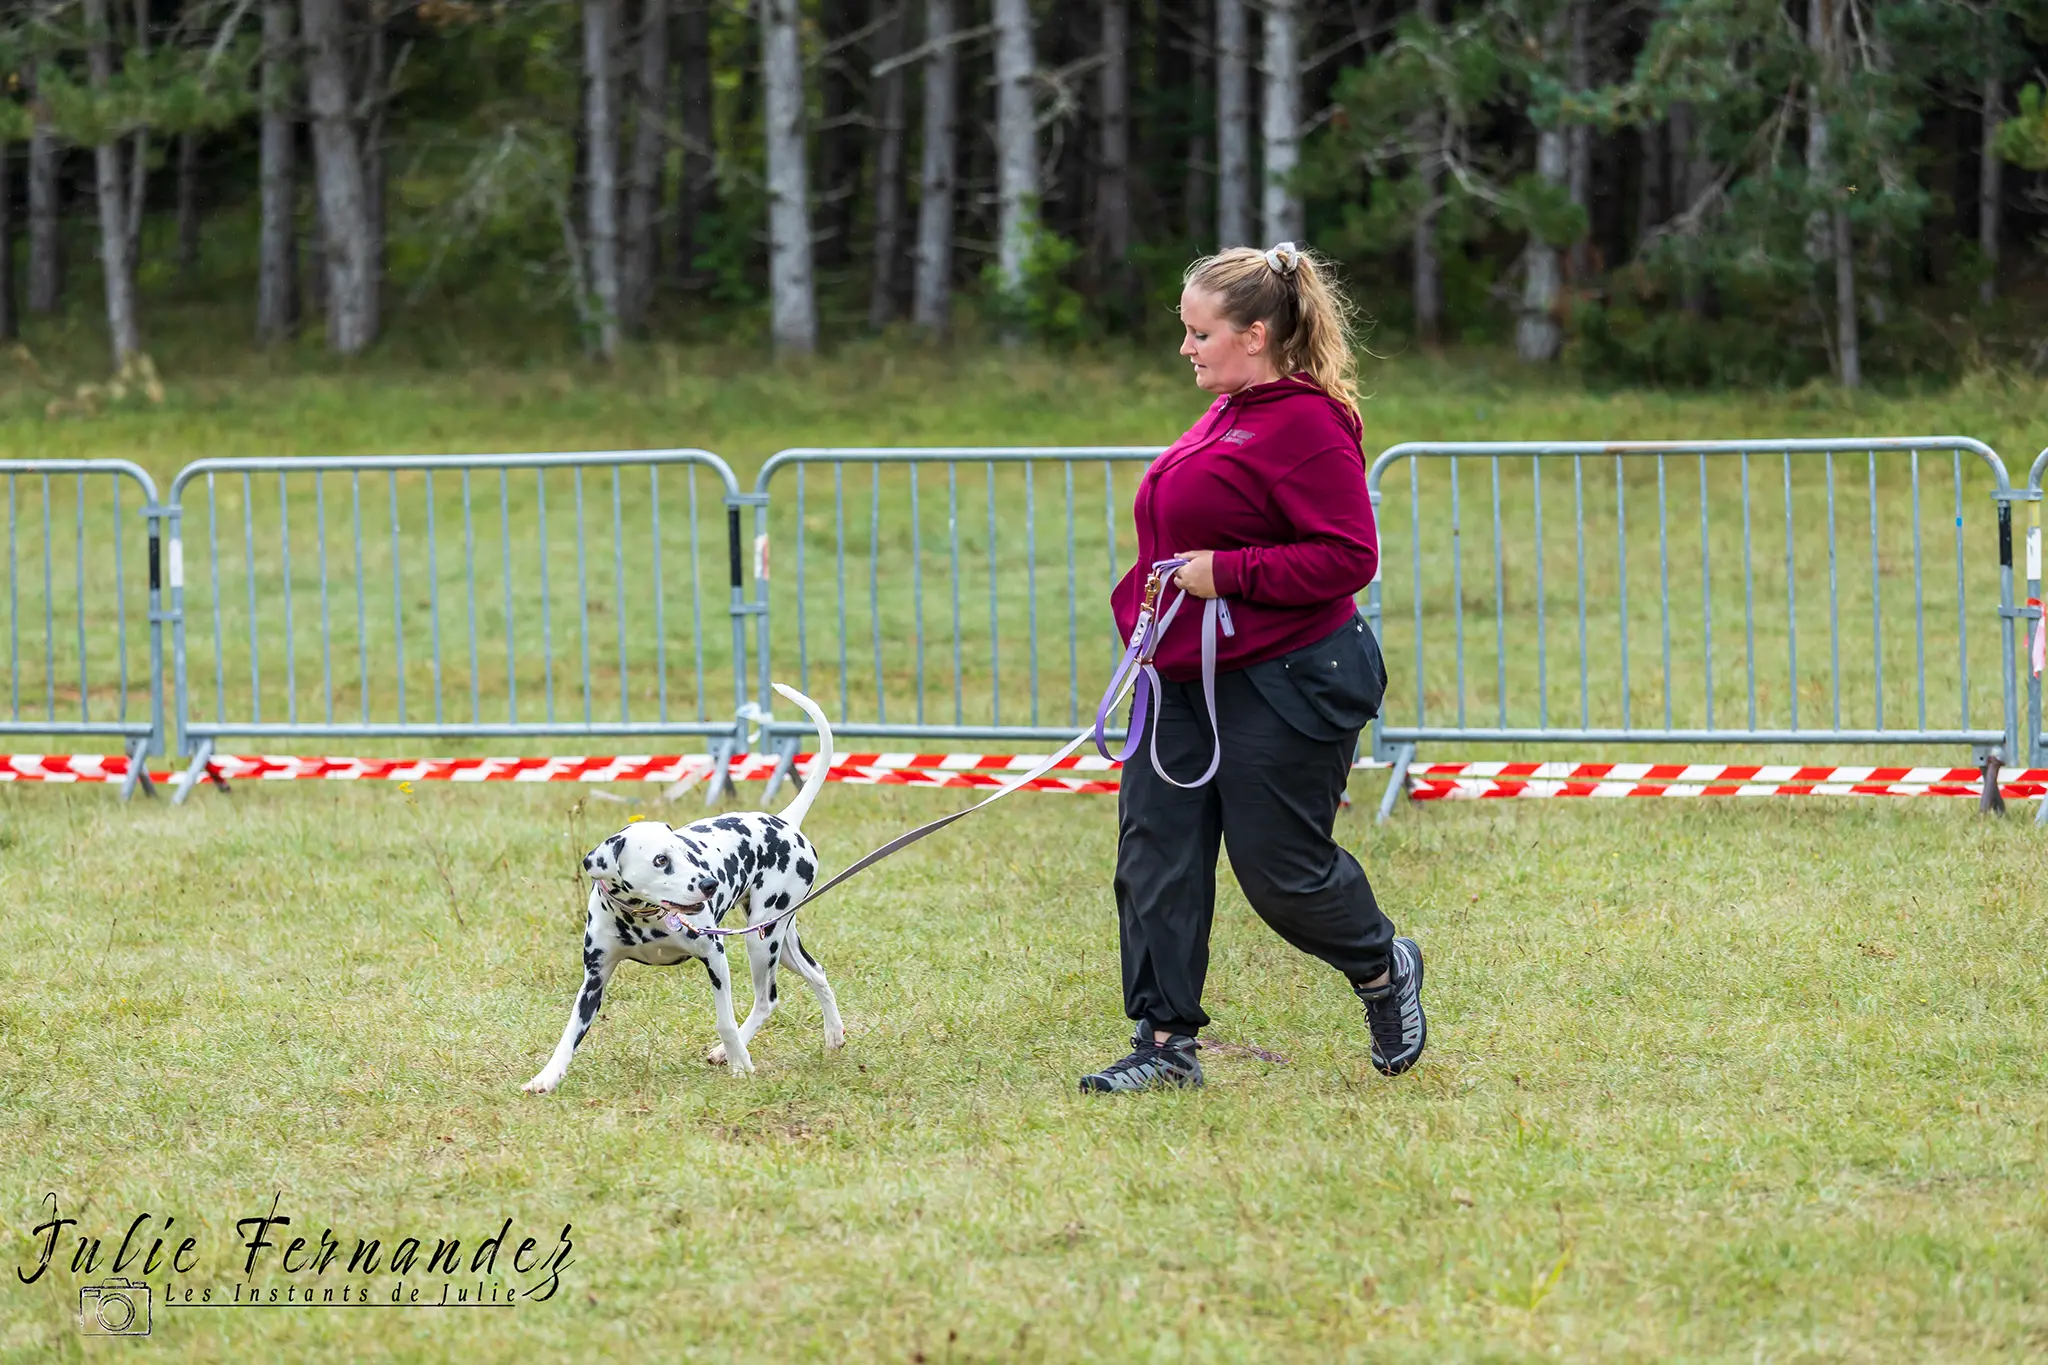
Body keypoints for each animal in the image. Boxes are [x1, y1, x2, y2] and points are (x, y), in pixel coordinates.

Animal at [532, 687, 851, 1096]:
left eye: (683, 852)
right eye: (660, 860)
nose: (709, 884)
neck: (641, 919)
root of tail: (784, 820)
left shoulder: (714, 957)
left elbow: (725, 1020)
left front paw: (740, 1064)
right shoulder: (594, 979)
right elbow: (570, 1033)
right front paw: (546, 1077)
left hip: (761, 941)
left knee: (766, 1000)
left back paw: (729, 1051)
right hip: (780, 941)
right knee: (817, 972)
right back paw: (834, 1034)